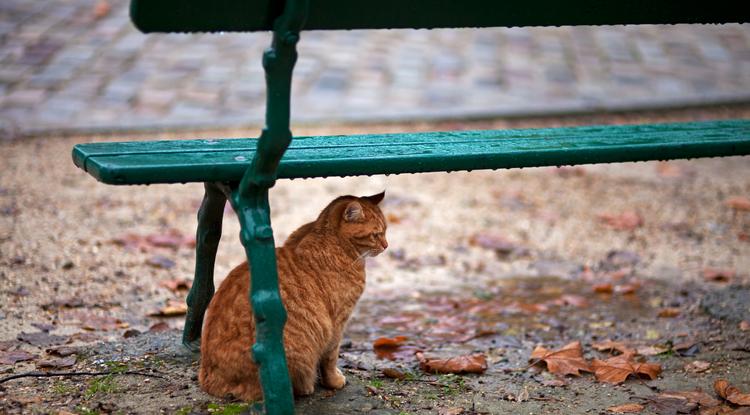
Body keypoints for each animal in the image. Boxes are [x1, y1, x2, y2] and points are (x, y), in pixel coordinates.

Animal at [200, 193, 388, 402]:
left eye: (385, 231)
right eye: (376, 235)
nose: (386, 246)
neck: (331, 240)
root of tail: (209, 381)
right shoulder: (337, 324)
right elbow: (331, 358)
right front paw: (334, 380)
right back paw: (305, 387)